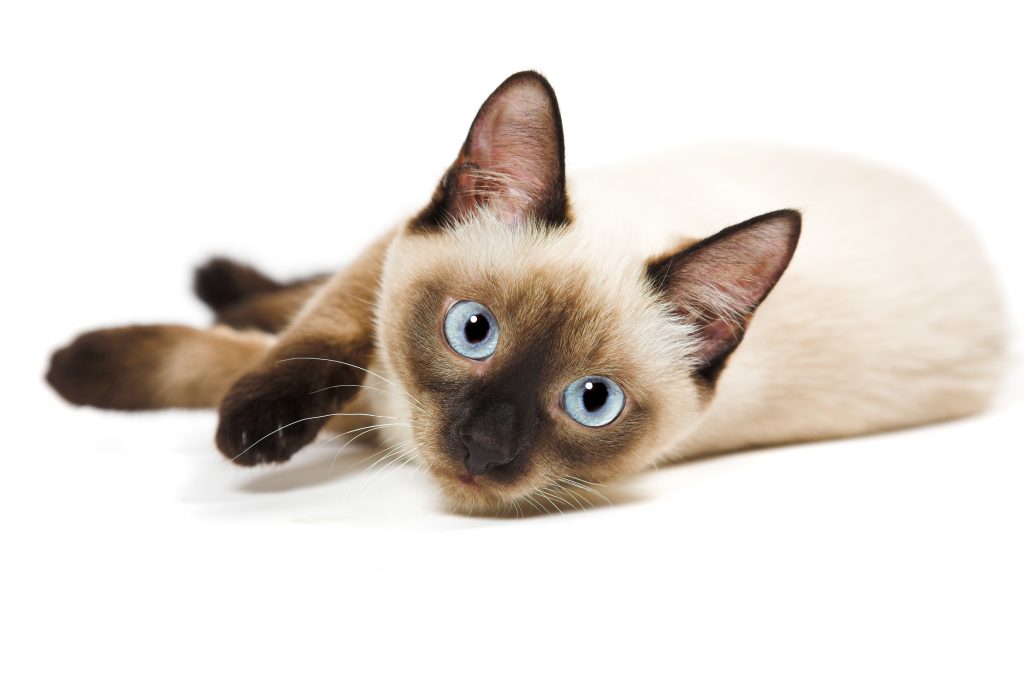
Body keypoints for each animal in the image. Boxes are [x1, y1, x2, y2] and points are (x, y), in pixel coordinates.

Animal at [48, 72, 1007, 516]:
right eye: (472, 331)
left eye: (592, 401)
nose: (481, 444)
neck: (385, 414)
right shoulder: (376, 271)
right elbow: (305, 337)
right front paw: (93, 373)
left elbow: (245, 355)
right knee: (291, 297)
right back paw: (217, 279)